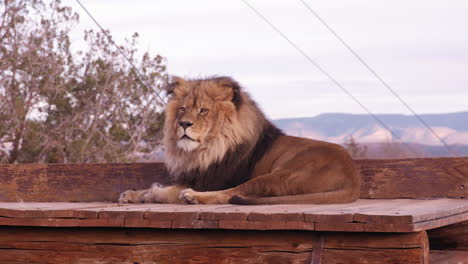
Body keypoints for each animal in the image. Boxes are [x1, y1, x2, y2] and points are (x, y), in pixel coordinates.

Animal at [119, 76, 360, 204]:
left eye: (204, 110)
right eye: (182, 109)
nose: (184, 124)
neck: (206, 149)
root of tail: (353, 177)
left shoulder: (213, 180)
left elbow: (167, 191)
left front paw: (153, 192)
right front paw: (131, 194)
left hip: (280, 174)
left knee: (232, 193)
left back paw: (193, 197)